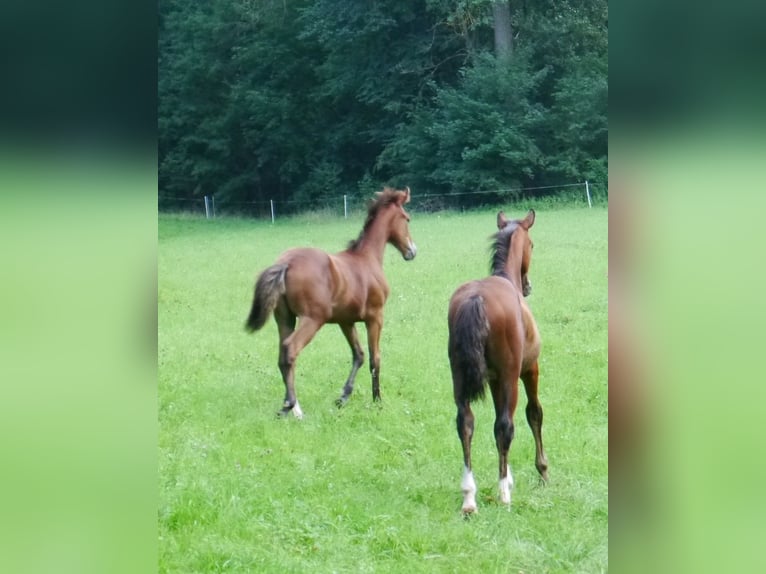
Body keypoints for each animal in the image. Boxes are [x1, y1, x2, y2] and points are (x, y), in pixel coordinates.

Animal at [246, 188, 416, 418]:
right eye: (407, 218)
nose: (412, 251)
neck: (367, 258)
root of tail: (286, 263)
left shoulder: (346, 321)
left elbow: (359, 355)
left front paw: (343, 396)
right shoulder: (375, 318)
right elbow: (375, 359)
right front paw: (377, 400)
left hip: (285, 319)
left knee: (283, 355)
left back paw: (293, 407)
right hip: (312, 319)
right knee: (291, 350)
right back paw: (291, 406)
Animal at [448, 212, 548, 516]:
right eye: (532, 245)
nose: (528, 286)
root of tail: (476, 298)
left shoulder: (493, 380)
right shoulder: (528, 370)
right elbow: (534, 414)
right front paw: (542, 471)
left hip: (460, 380)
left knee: (465, 423)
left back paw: (469, 496)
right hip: (510, 377)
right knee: (505, 426)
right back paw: (503, 493)